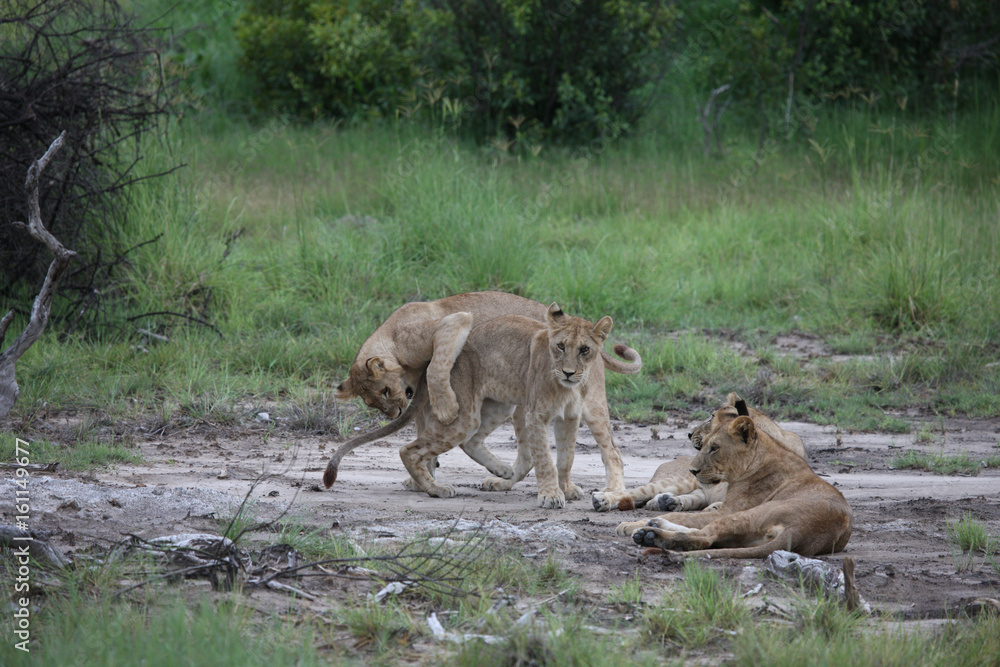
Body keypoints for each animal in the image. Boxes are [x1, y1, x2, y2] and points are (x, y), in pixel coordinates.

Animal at [333, 291, 640, 492]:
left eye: (385, 390)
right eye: (372, 403)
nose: (395, 412)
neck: (393, 337)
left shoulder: (452, 324)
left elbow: (437, 368)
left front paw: (447, 409)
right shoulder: (423, 398)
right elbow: (425, 433)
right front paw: (423, 479)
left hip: (589, 405)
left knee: (611, 451)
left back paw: (611, 492)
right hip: (510, 403)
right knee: (512, 449)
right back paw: (502, 475)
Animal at [591, 393, 806, 513]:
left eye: (711, 417)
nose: (689, 433)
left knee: (692, 498)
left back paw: (668, 502)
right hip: (679, 481)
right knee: (635, 493)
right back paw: (603, 499)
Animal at [614, 414, 853, 559]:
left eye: (715, 448)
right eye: (704, 445)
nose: (692, 471)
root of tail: (801, 531)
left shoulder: (730, 509)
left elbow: (682, 516)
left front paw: (629, 524)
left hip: (748, 515)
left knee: (704, 537)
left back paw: (649, 533)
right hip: (747, 539)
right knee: (708, 536)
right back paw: (655, 525)